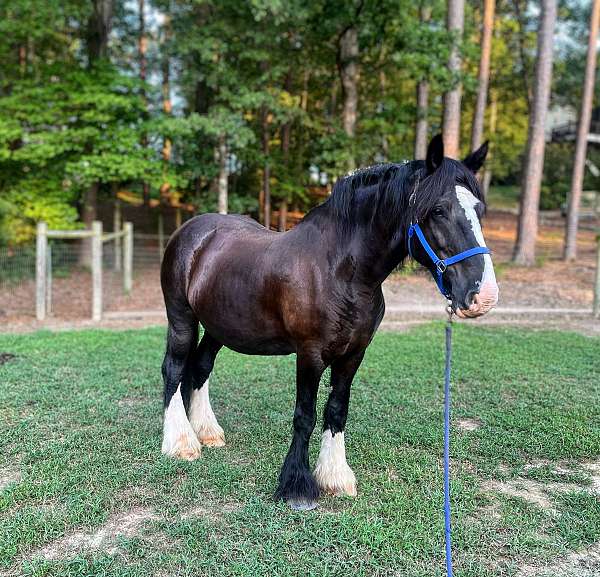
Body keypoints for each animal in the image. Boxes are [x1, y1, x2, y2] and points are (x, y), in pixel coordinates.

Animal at [158, 135, 496, 508]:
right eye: (437, 209)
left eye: (479, 209)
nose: (484, 295)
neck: (341, 271)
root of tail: (192, 231)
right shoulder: (310, 354)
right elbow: (305, 415)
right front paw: (297, 486)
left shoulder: (353, 354)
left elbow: (336, 410)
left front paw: (334, 477)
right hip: (182, 318)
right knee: (174, 369)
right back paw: (181, 443)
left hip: (220, 326)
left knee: (201, 367)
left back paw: (207, 432)